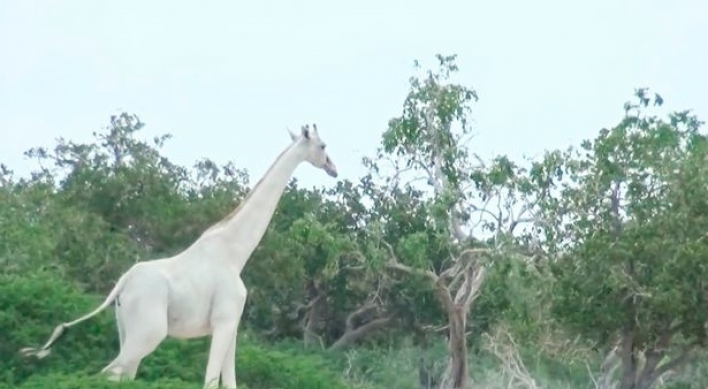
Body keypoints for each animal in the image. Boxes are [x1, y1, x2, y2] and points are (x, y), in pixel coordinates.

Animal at [21, 124, 340, 388]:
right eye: (323, 145)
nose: (333, 168)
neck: (235, 253)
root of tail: (122, 284)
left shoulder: (231, 324)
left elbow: (229, 382)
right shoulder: (225, 320)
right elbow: (210, 381)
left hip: (126, 328)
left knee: (121, 375)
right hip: (150, 331)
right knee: (108, 373)